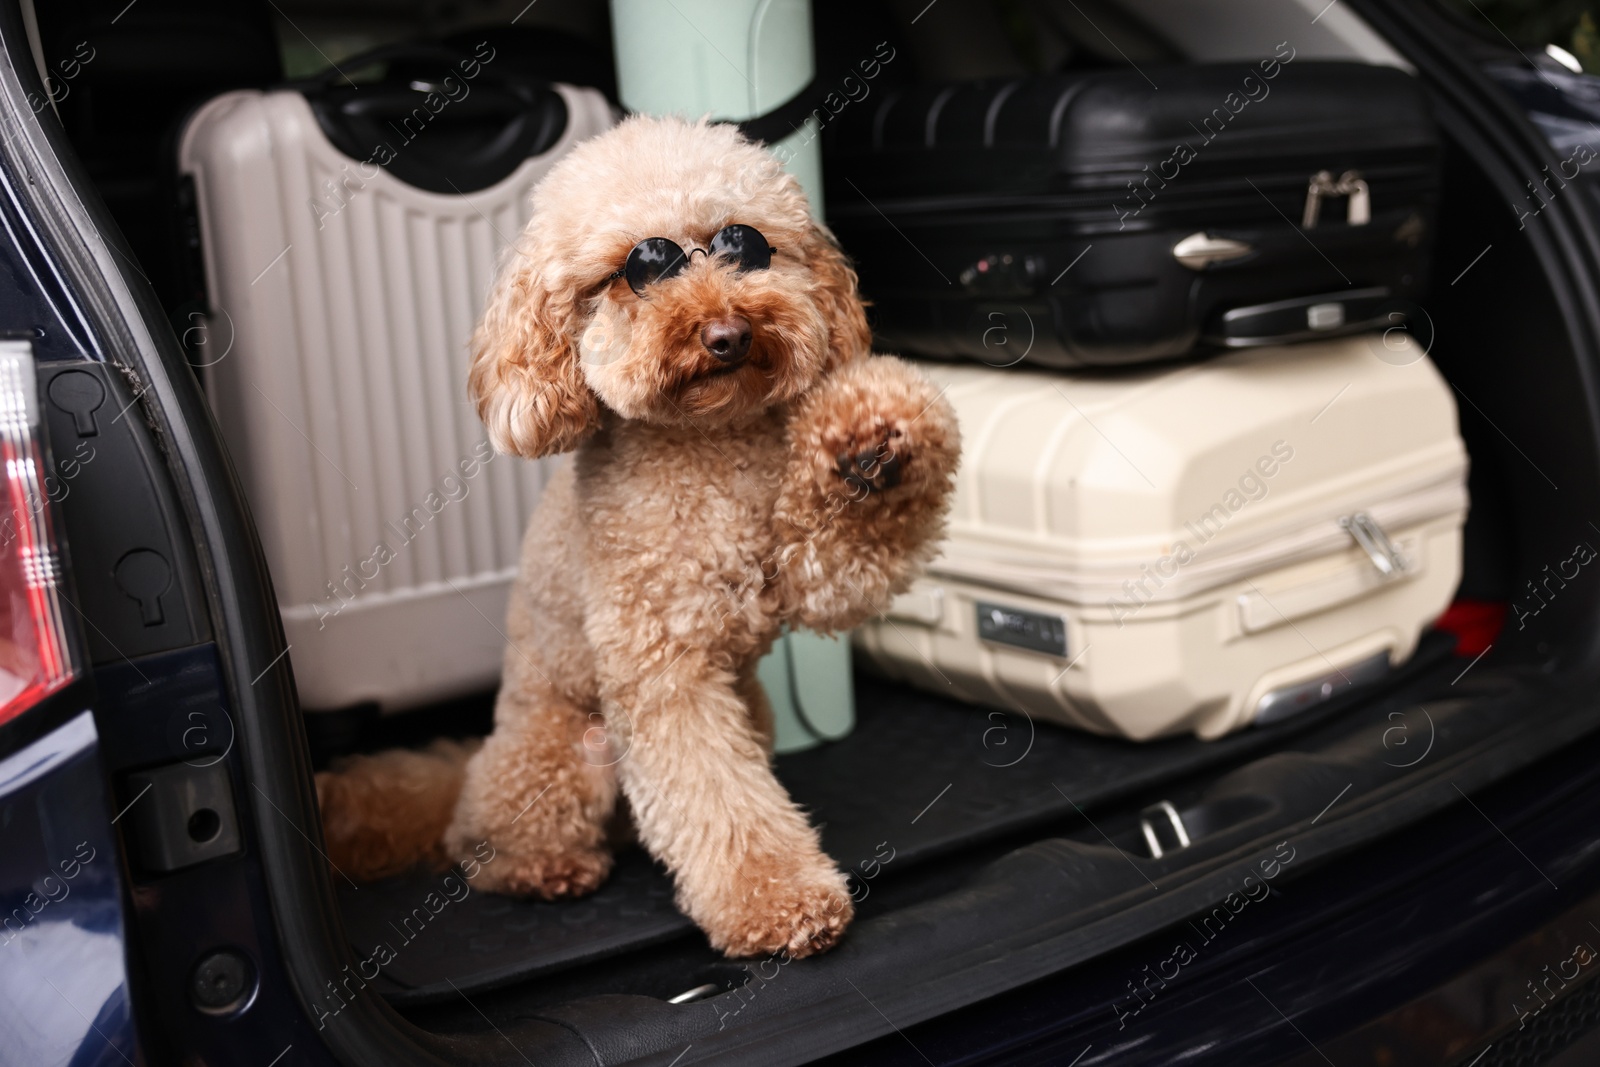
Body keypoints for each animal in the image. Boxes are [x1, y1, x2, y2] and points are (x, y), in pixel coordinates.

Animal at [318, 115, 953, 959]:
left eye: (743, 243)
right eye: (638, 269)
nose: (727, 333)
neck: (709, 445)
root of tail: (468, 762)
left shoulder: (813, 571)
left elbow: (848, 555)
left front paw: (877, 430)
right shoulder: (661, 668)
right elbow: (717, 798)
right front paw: (779, 902)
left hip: (750, 710)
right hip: (561, 752)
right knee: (483, 841)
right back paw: (546, 867)